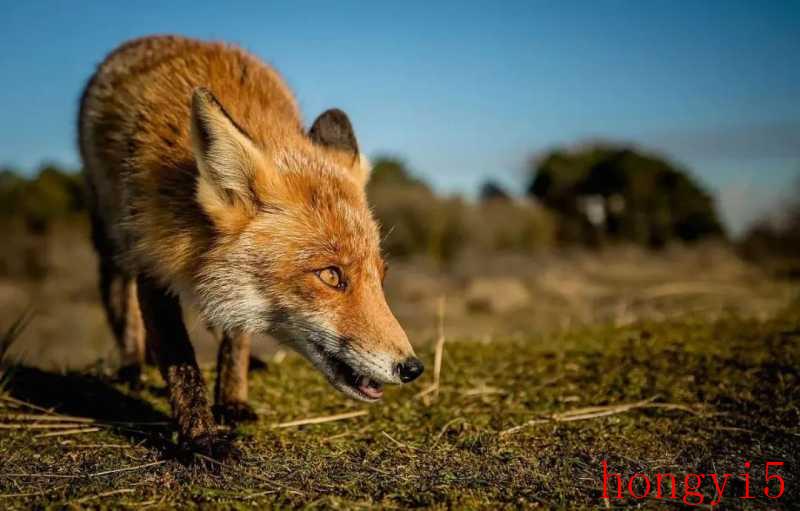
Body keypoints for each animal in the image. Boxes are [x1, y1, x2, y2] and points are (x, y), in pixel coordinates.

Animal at [78, 36, 422, 458]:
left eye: (381, 276)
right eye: (330, 275)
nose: (412, 368)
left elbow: (236, 340)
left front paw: (232, 400)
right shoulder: (150, 259)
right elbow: (179, 361)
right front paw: (200, 436)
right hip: (113, 238)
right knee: (120, 301)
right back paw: (131, 367)